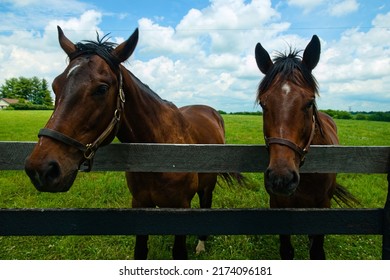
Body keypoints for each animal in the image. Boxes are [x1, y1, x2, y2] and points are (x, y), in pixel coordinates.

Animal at [24, 26, 241, 260]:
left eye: (102, 88)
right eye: (55, 85)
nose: (41, 169)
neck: (160, 153)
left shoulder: (182, 206)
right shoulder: (140, 204)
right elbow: (140, 250)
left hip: (207, 186)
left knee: (205, 204)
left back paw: (201, 243)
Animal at [254, 35, 358, 260]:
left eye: (310, 102)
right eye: (263, 104)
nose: (281, 178)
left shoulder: (323, 205)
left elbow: (317, 250)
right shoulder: (278, 204)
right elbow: (286, 250)